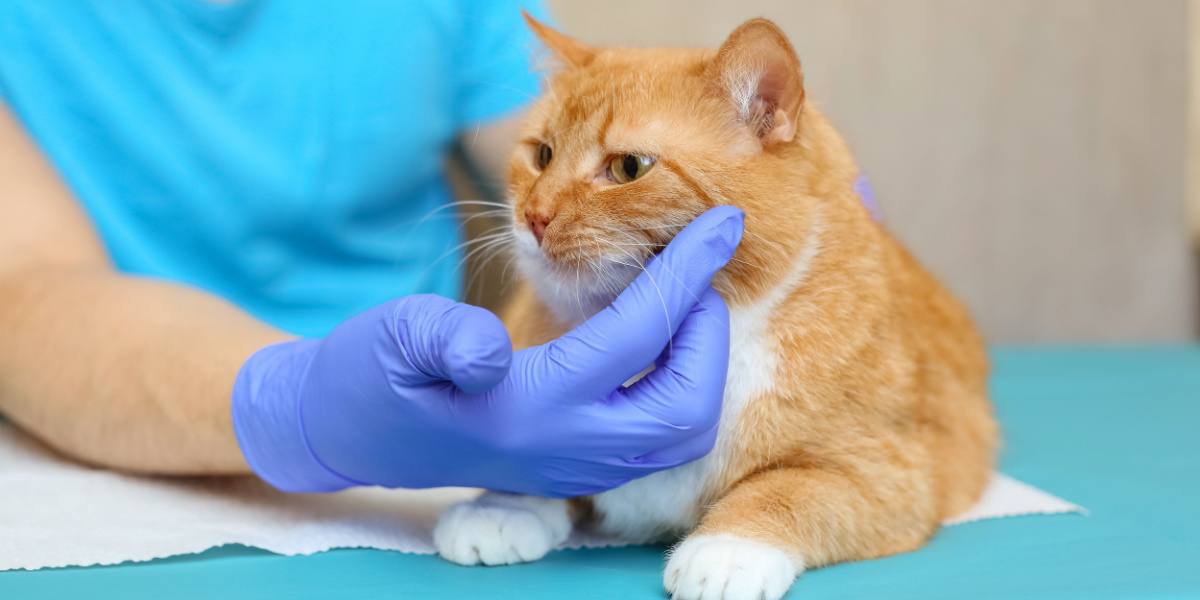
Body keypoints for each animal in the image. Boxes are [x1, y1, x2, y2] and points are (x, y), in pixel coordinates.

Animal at [432, 14, 993, 600]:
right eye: (541, 154)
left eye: (629, 167)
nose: (534, 217)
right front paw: (503, 505)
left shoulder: (889, 469)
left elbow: (785, 488)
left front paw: (729, 550)